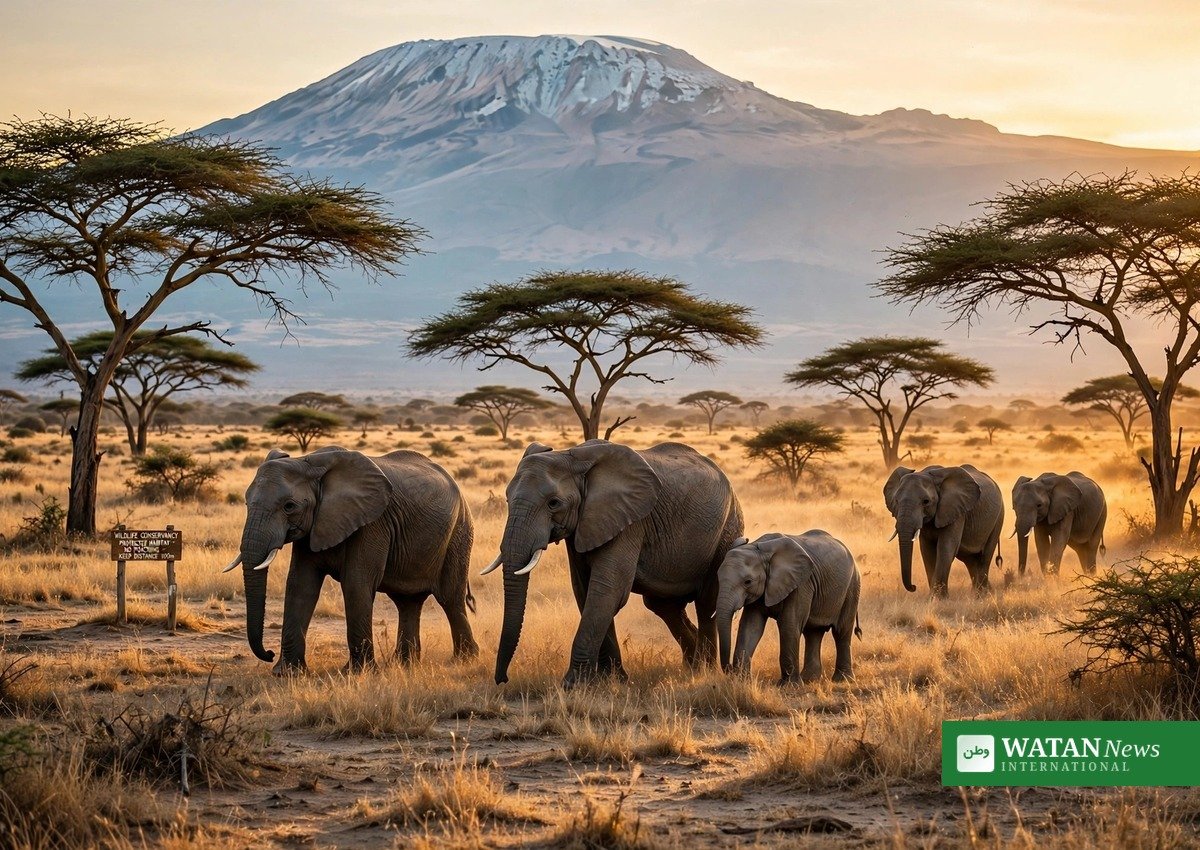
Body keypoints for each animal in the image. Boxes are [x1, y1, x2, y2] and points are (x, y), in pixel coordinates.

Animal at [227, 446, 478, 673]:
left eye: (289, 506)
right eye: (246, 502)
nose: (268, 654)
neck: (308, 462)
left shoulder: (372, 523)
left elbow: (356, 584)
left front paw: (358, 673)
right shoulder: (314, 525)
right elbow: (300, 586)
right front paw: (287, 674)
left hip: (460, 532)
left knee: (450, 598)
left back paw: (463, 661)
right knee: (408, 602)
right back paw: (404, 665)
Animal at [484, 439, 744, 688]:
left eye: (553, 503)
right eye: (507, 498)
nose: (502, 679)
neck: (572, 456)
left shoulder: (630, 522)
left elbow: (607, 590)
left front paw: (574, 685)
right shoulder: (584, 525)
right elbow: (585, 590)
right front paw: (612, 680)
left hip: (727, 531)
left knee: (706, 602)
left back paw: (704, 671)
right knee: (664, 607)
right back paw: (691, 667)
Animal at [715, 531, 861, 685]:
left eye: (748, 582)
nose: (730, 668)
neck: (759, 548)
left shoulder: (800, 584)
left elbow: (789, 625)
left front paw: (789, 686)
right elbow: (751, 626)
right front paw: (742, 682)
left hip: (852, 587)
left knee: (841, 631)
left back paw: (842, 680)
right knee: (813, 632)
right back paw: (809, 680)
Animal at [883, 464, 1004, 597]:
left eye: (926, 501)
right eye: (896, 501)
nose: (914, 587)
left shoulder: (955, 511)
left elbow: (946, 548)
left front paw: (940, 598)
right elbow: (927, 551)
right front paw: (933, 597)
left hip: (998, 517)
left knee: (984, 558)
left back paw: (983, 595)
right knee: (970, 560)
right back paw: (981, 593)